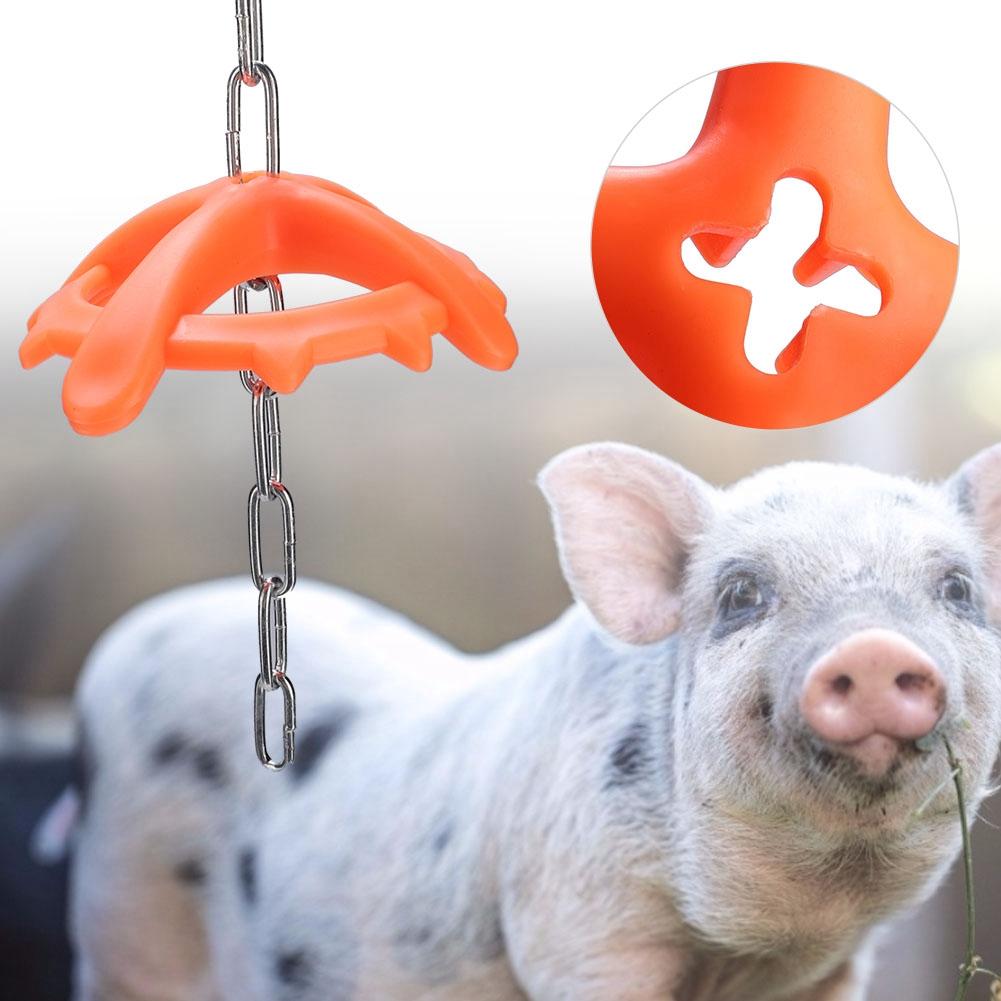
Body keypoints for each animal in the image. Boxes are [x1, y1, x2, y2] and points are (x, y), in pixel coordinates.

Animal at [48, 441, 1001, 1001]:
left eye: (957, 588)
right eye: (740, 594)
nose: (871, 648)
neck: (756, 939)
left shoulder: (828, 971)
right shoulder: (578, 925)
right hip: (122, 915)